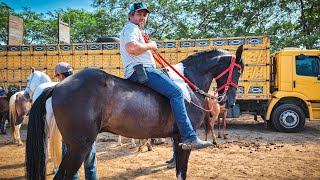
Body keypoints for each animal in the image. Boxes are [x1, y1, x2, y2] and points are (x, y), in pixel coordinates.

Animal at [26, 45, 244, 180]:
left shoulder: (176, 138)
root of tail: (58, 86)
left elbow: (178, 172)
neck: (187, 86)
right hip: (79, 147)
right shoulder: (184, 140)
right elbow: (182, 172)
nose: (229, 102)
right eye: (239, 70)